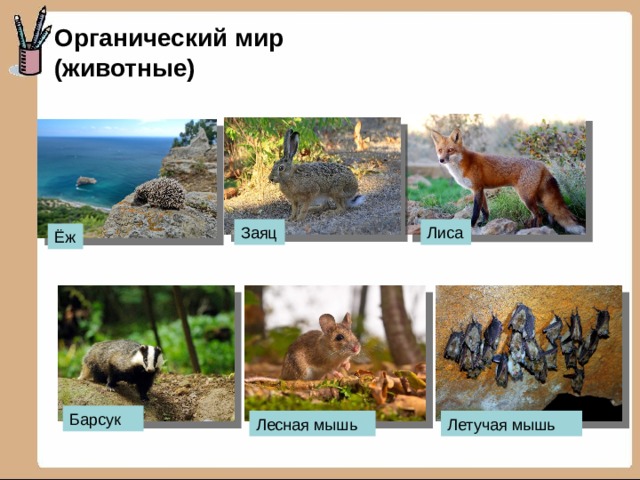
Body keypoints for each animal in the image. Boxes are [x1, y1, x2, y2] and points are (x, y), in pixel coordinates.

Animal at [431, 128, 585, 234]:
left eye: (450, 150)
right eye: (440, 150)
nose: (441, 160)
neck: (463, 164)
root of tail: (542, 165)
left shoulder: (477, 189)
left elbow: (475, 212)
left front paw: (472, 225)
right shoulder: (480, 190)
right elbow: (485, 211)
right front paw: (484, 223)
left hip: (526, 198)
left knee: (539, 215)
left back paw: (535, 230)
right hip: (537, 198)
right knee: (545, 214)